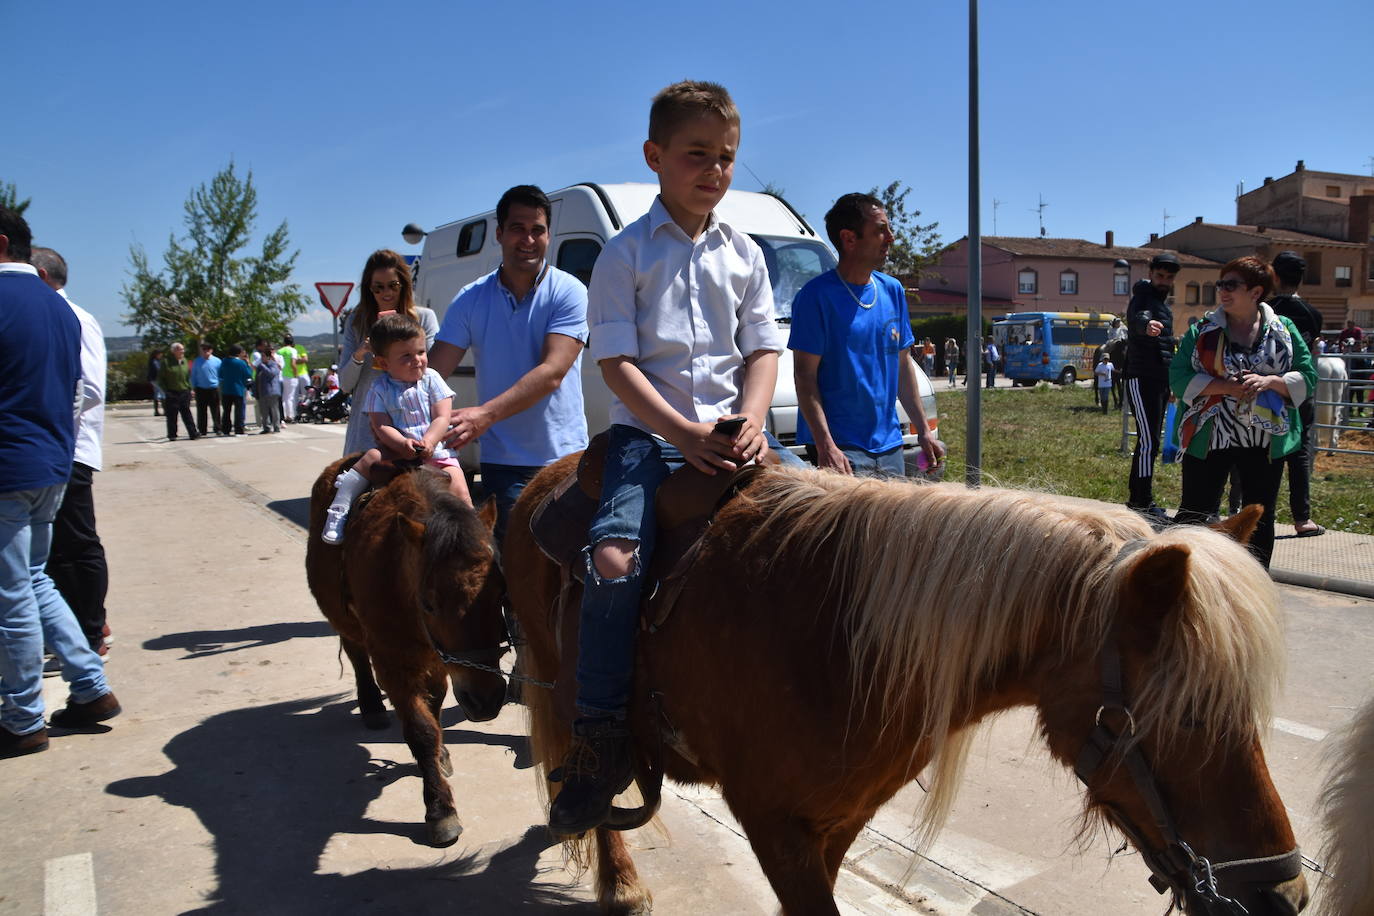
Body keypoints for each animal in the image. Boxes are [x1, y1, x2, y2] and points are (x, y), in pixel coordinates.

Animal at [306, 461, 511, 851]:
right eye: (429, 603)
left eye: (501, 594)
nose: (485, 700)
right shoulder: (393, 663)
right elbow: (421, 730)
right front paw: (440, 809)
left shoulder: (436, 660)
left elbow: (433, 709)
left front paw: (440, 756)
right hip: (343, 620)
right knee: (356, 654)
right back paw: (371, 705)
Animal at [508, 461, 1308, 916]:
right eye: (1192, 716)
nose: (1282, 894)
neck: (834, 634)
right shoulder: (772, 823)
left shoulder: (834, 823)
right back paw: (618, 880)